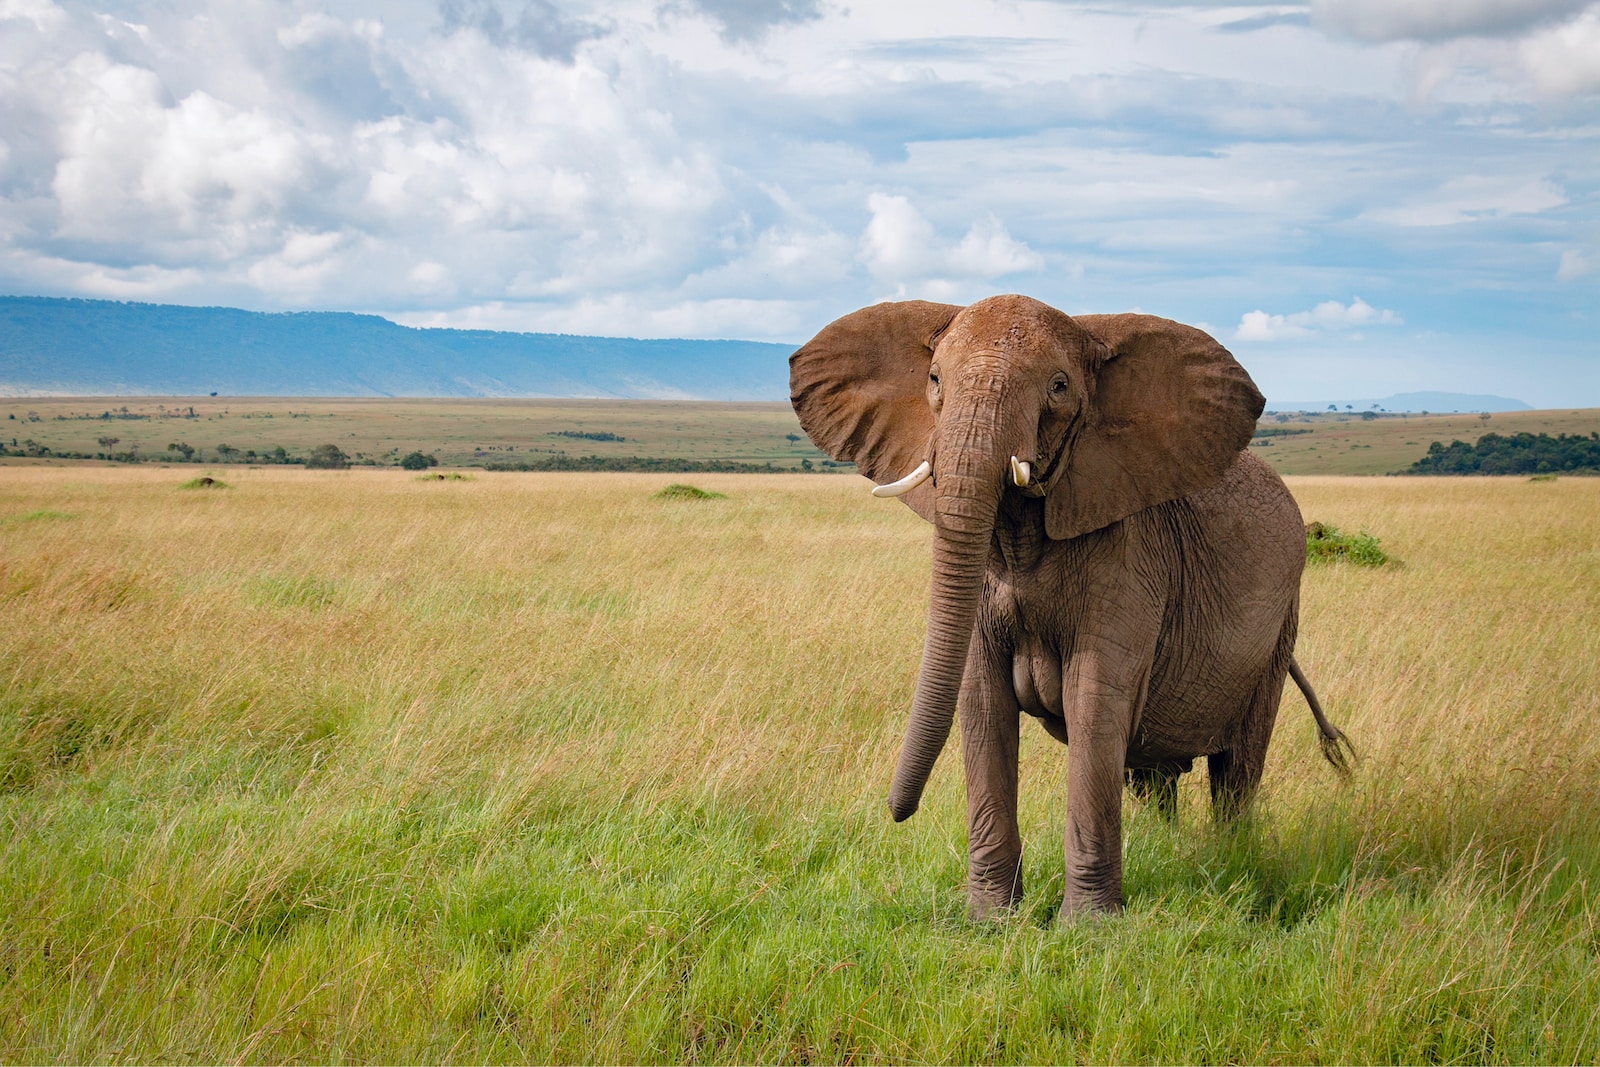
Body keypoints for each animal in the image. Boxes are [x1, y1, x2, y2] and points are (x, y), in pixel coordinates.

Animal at [790, 292, 1350, 921]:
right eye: (933, 379)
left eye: (1058, 387)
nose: (896, 811)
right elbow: (981, 701)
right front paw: (990, 920)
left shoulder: (1129, 555)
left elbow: (1094, 701)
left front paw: (1088, 926)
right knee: (1154, 773)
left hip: (1279, 626)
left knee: (1237, 769)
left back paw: (1231, 860)